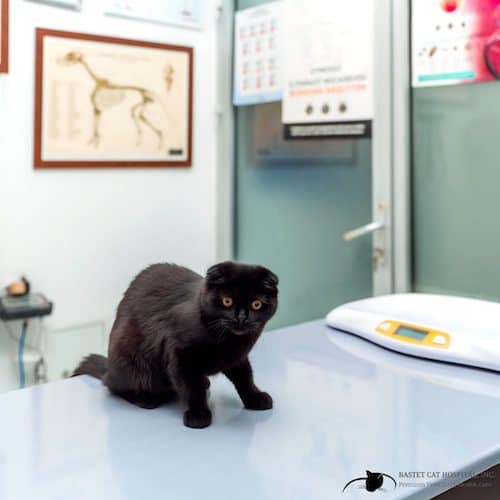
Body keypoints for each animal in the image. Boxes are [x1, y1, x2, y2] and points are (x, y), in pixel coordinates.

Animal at [73, 260, 278, 428]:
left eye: (256, 304)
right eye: (227, 301)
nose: (241, 318)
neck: (230, 341)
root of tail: (109, 367)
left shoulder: (236, 357)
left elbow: (245, 377)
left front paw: (255, 397)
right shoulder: (180, 355)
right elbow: (190, 387)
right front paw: (197, 414)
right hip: (127, 353)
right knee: (113, 385)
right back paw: (145, 398)